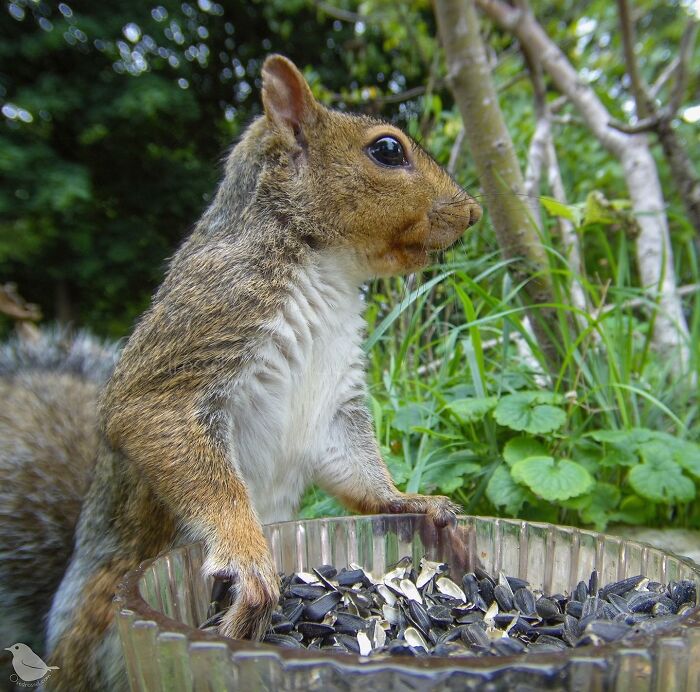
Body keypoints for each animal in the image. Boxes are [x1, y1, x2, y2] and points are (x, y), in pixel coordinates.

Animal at [0, 55, 482, 692]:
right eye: (386, 149)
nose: (473, 211)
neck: (327, 265)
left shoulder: (334, 401)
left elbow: (353, 468)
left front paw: (411, 501)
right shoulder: (206, 321)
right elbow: (154, 421)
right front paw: (250, 558)